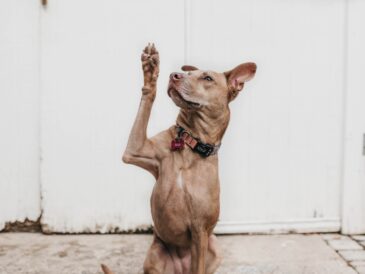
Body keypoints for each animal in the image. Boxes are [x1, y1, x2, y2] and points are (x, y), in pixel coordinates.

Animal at [101, 43, 256, 274]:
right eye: (188, 73)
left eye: (207, 78)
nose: (174, 75)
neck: (190, 144)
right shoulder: (134, 150)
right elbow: (147, 99)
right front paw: (150, 71)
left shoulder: (200, 230)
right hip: (155, 255)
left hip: (214, 246)